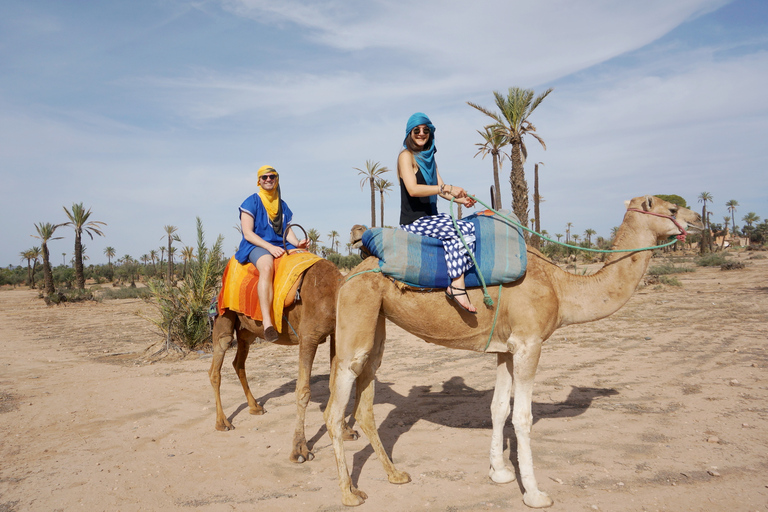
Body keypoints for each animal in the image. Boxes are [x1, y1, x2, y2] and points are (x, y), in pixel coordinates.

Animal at [207, 258, 356, 462]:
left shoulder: (334, 332)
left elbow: (335, 385)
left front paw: (346, 431)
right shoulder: (308, 335)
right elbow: (303, 391)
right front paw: (300, 450)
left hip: (247, 331)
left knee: (238, 362)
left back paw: (255, 406)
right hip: (224, 318)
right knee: (217, 362)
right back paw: (222, 422)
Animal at [324, 196, 704, 508]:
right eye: (671, 208)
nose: (699, 218)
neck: (561, 287)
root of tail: (348, 274)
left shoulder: (506, 349)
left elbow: (497, 408)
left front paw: (500, 472)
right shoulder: (529, 343)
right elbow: (522, 416)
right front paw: (535, 493)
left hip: (377, 319)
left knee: (366, 396)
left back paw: (395, 475)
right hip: (358, 309)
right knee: (336, 403)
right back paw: (349, 493)